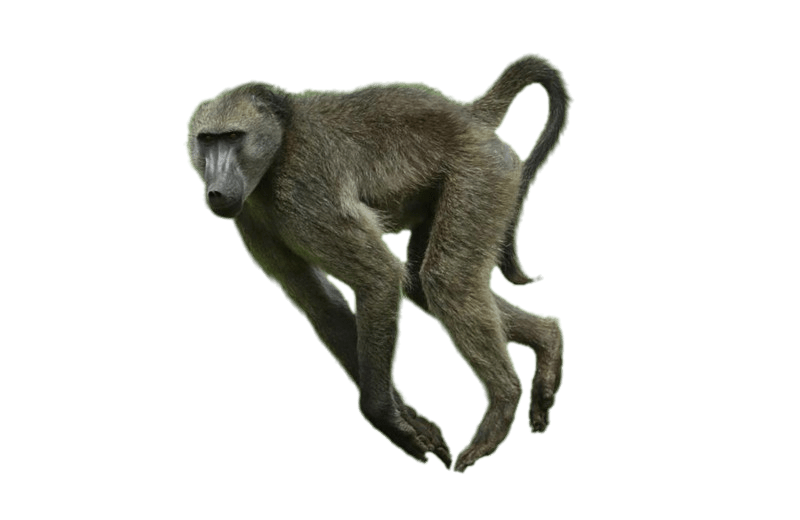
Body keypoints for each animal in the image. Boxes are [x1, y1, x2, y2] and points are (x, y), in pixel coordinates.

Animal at [185, 53, 571, 473]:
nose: (216, 191)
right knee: (423, 285)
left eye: (233, 137)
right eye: (207, 140)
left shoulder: (304, 191)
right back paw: (548, 341)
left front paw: (385, 417)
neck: (279, 147)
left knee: (445, 280)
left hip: (482, 172)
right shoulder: (250, 217)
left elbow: (379, 278)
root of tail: (467, 115)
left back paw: (504, 401)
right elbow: (322, 306)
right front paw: (413, 422)